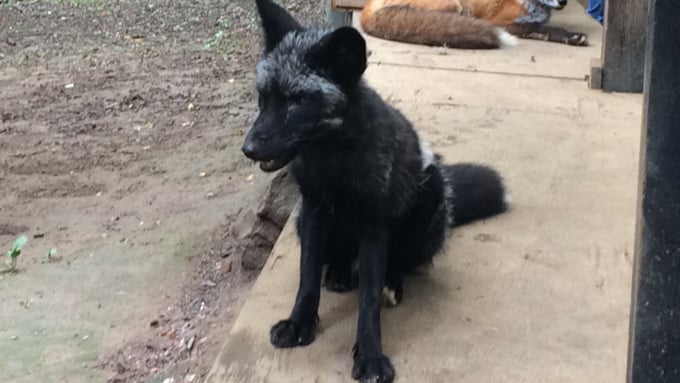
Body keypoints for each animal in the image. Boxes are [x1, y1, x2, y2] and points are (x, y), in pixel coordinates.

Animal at [240, 1, 510, 382]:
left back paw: (391, 283)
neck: (334, 164)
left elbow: (367, 299)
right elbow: (307, 277)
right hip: (302, 223)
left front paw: (370, 355)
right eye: (263, 98)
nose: (247, 149)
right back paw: (339, 273)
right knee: (337, 261)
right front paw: (299, 323)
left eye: (296, 102)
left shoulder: (373, 226)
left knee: (400, 262)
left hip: (431, 192)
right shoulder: (314, 210)